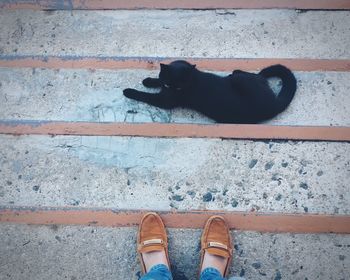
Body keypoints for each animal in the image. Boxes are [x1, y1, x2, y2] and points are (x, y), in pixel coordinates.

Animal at [123, 60, 296, 122]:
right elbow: (157, 80)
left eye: (179, 87)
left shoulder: (164, 101)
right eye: (169, 84)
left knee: (251, 75)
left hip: (240, 80)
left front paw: (128, 91)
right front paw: (148, 81)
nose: (172, 91)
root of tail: (275, 105)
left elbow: (144, 96)